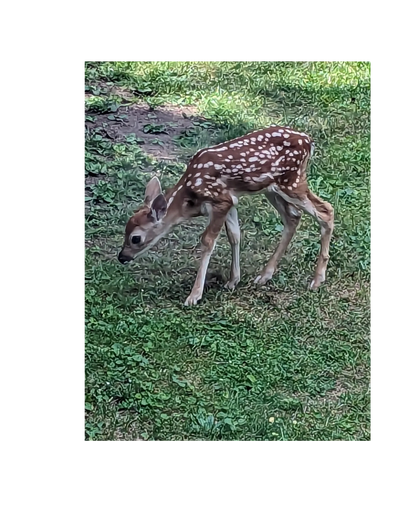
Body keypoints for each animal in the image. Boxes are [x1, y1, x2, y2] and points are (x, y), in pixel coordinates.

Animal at [118, 125, 334, 306]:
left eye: (135, 238)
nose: (122, 257)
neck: (189, 197)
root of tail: (309, 141)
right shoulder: (231, 201)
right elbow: (234, 235)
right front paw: (232, 281)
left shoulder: (220, 201)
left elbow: (207, 241)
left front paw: (194, 296)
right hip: (271, 188)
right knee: (293, 217)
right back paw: (265, 275)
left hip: (292, 181)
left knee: (326, 210)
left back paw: (317, 280)